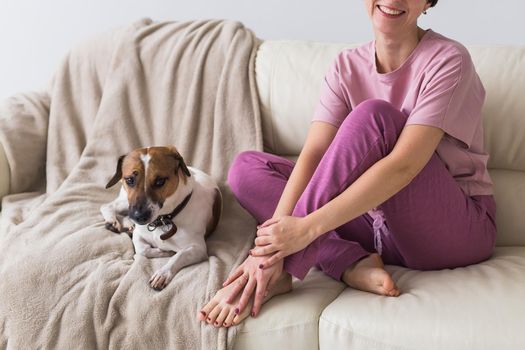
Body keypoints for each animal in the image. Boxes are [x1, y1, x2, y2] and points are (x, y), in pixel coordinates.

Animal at [100, 145, 221, 290]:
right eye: (129, 180)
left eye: (159, 181)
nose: (139, 217)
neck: (162, 220)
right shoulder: (139, 234)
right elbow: (142, 250)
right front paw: (164, 251)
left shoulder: (198, 248)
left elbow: (178, 255)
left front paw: (163, 272)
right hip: (126, 202)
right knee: (108, 206)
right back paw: (113, 221)